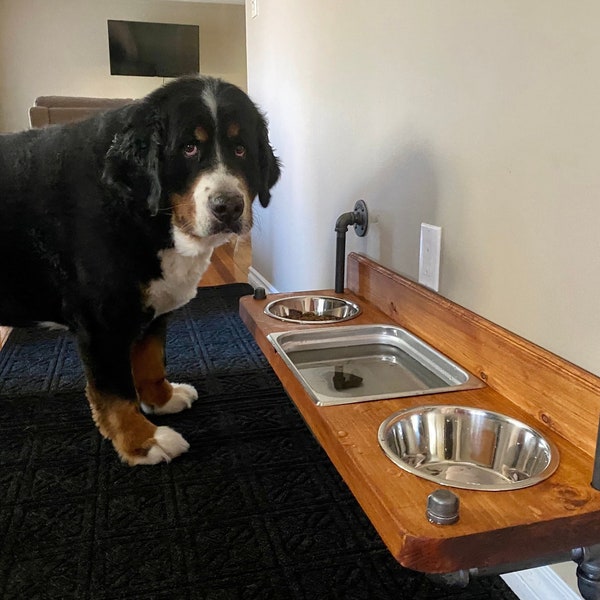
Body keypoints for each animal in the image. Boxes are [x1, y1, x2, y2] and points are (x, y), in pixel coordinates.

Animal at [0, 75, 282, 466]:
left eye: (240, 150)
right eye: (189, 148)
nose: (228, 206)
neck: (142, 211)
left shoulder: (152, 311)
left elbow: (150, 360)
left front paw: (162, 400)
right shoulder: (102, 323)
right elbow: (115, 394)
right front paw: (142, 441)